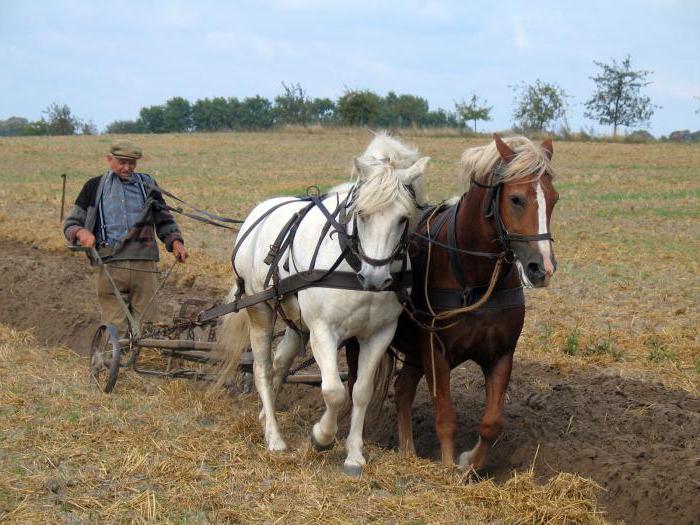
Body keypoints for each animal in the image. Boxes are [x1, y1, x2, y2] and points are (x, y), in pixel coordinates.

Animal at [216, 132, 430, 474]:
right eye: (362, 214)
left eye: (403, 218)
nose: (374, 277)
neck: (352, 263)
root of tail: (257, 213)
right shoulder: (323, 331)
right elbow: (333, 391)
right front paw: (321, 437)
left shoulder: (379, 334)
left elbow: (360, 392)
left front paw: (354, 454)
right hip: (259, 309)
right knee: (263, 368)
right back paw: (274, 437)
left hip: (294, 320)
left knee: (280, 363)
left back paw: (266, 416)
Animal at [348, 133, 556, 468]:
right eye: (516, 199)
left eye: (554, 198)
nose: (543, 269)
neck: (474, 276)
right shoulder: (436, 351)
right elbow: (444, 416)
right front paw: (447, 467)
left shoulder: (501, 353)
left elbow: (492, 423)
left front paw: (469, 463)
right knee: (356, 385)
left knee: (402, 390)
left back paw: (407, 451)